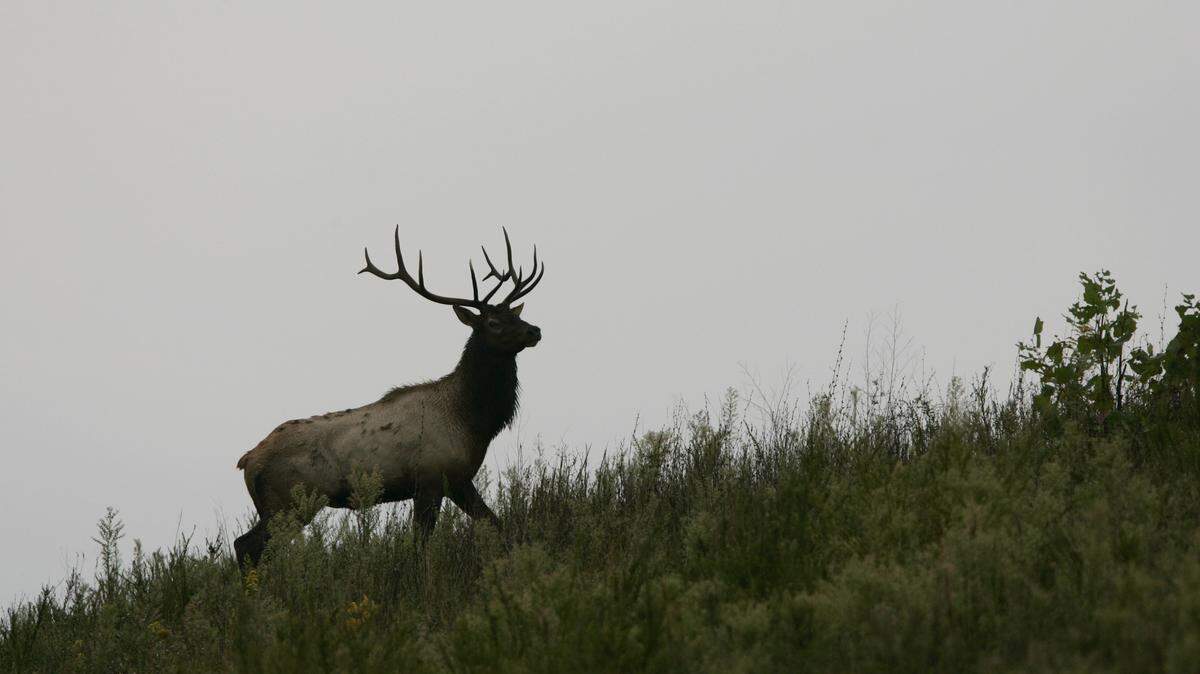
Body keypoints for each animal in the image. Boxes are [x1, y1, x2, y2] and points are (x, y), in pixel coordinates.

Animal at [233, 227, 545, 567]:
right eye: (493, 322)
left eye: (514, 315)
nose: (534, 331)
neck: (471, 420)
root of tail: (247, 461)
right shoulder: (431, 478)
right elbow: (421, 544)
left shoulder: (458, 480)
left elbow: (497, 524)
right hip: (288, 501)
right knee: (247, 545)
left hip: (278, 505)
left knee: (247, 545)